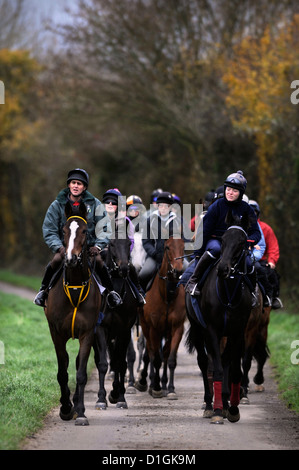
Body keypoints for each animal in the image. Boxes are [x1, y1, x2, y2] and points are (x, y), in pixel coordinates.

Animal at [44, 200, 102, 428]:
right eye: (64, 230)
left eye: (85, 230)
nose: (70, 258)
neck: (75, 286)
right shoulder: (56, 333)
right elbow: (62, 371)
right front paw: (66, 408)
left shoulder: (87, 333)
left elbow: (81, 373)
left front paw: (81, 411)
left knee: (78, 363)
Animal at [137, 237, 186, 398]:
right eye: (167, 247)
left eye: (183, 247)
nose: (178, 270)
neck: (167, 294)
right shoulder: (154, 328)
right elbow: (155, 358)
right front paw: (156, 387)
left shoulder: (177, 328)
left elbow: (170, 358)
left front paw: (169, 389)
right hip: (145, 326)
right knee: (151, 353)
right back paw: (148, 383)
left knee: (163, 353)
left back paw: (163, 384)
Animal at [188, 211, 255, 424]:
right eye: (223, 240)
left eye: (242, 242)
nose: (223, 269)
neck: (228, 293)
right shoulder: (211, 330)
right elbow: (215, 368)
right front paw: (217, 410)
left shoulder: (238, 331)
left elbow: (233, 369)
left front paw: (232, 409)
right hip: (198, 329)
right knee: (204, 362)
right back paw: (210, 404)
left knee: (225, 362)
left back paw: (225, 403)